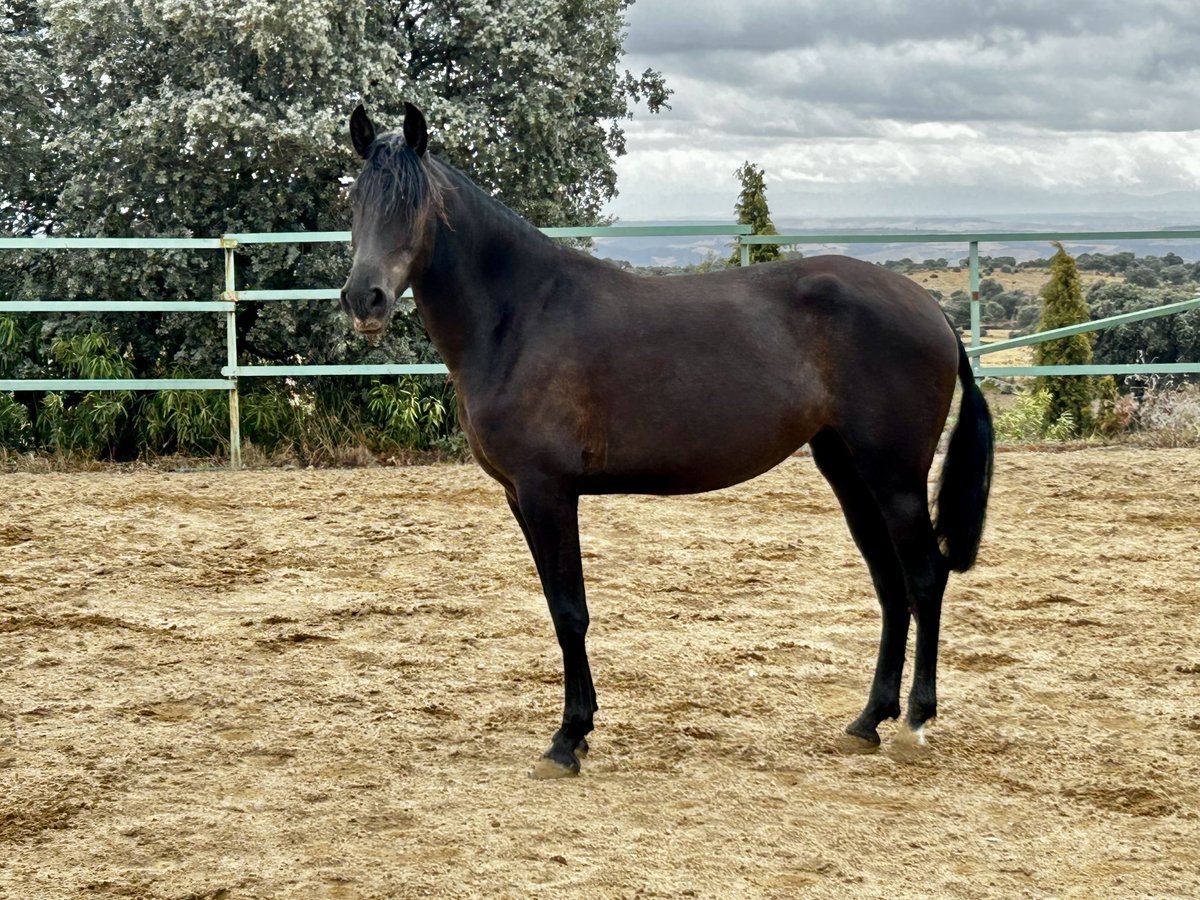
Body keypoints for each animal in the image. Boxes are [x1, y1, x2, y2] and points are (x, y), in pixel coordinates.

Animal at [340, 102, 993, 777]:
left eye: (413, 204)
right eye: (356, 199)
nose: (364, 298)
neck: (518, 316)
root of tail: (932, 310)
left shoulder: (549, 491)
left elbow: (570, 611)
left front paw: (567, 739)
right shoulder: (520, 496)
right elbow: (557, 606)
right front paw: (582, 728)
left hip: (895, 478)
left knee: (924, 577)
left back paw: (916, 721)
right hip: (849, 471)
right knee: (891, 585)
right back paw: (869, 721)